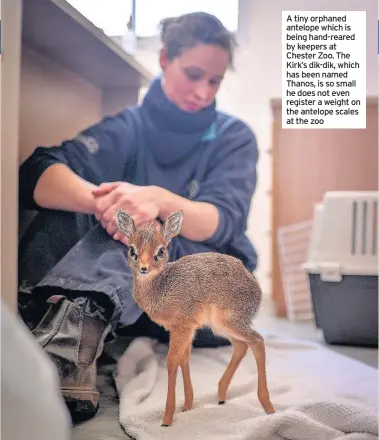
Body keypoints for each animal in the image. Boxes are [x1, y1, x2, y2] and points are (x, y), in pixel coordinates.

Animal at [116, 210, 276, 426]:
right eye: (132, 249)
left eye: (160, 251)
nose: (143, 268)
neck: (162, 288)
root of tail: (256, 289)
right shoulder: (187, 328)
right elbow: (185, 358)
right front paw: (187, 405)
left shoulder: (182, 327)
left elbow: (172, 361)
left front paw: (167, 418)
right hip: (220, 327)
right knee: (241, 346)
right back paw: (221, 395)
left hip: (231, 322)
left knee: (257, 341)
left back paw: (268, 407)